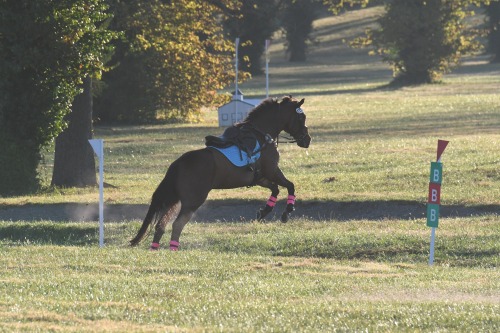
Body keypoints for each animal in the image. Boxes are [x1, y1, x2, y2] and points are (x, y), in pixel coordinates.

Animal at [130, 95, 308, 249]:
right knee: (177, 224)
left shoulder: (260, 178)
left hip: (175, 199)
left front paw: (264, 211)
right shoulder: (272, 171)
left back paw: (155, 249)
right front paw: (287, 211)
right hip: (193, 200)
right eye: (301, 118)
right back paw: (173, 248)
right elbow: (290, 186)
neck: (261, 134)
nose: (307, 140)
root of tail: (178, 163)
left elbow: (275, 189)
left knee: (161, 224)